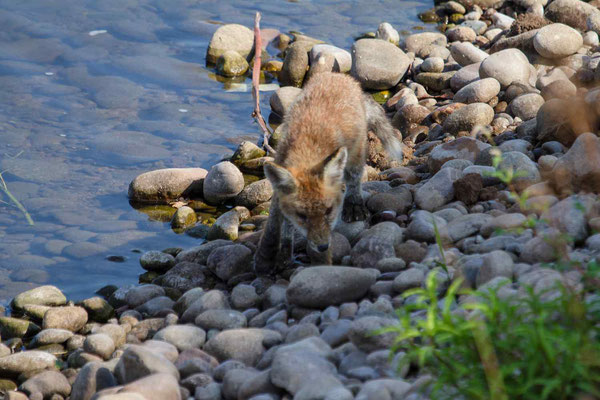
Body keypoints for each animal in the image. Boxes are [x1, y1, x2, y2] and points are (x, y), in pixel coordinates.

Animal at [253, 71, 404, 276]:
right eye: (303, 216)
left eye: (329, 211)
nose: (323, 246)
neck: (307, 148)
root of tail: (339, 76)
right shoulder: (279, 193)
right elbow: (277, 226)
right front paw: (270, 256)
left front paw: (322, 265)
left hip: (356, 153)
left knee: (354, 179)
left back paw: (354, 204)